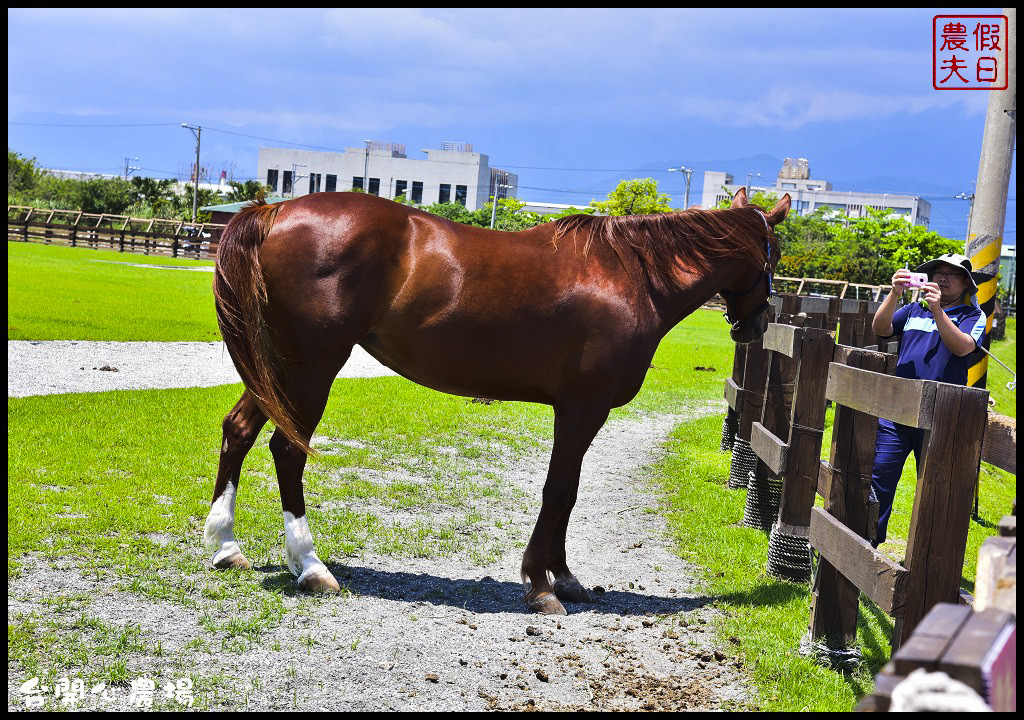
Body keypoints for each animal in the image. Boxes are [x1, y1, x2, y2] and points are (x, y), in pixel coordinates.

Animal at [203, 186, 786, 614]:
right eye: (773, 253)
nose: (756, 324)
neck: (630, 277)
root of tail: (276, 210)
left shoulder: (579, 412)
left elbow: (569, 492)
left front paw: (565, 577)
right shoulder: (583, 408)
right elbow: (558, 491)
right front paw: (542, 585)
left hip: (278, 369)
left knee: (239, 431)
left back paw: (227, 548)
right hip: (311, 368)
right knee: (288, 450)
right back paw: (311, 566)